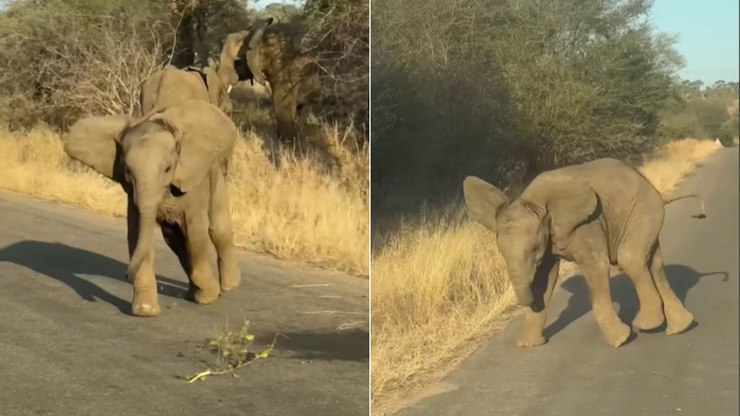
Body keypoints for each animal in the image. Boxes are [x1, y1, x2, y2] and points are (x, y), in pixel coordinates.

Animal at [63, 100, 241, 317]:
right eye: (127, 170)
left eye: (168, 169)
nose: (126, 275)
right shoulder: (134, 195)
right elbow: (137, 233)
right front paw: (145, 311)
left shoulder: (193, 183)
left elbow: (195, 233)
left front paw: (209, 297)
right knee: (176, 241)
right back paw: (193, 294)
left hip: (216, 178)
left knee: (218, 230)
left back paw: (228, 287)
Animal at [463, 158, 704, 348]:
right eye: (501, 252)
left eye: (533, 248)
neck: (537, 205)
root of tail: (653, 188)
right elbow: (544, 279)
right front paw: (528, 345)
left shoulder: (587, 226)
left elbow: (596, 266)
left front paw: (621, 340)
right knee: (653, 264)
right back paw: (679, 327)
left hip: (643, 211)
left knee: (630, 258)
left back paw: (646, 325)